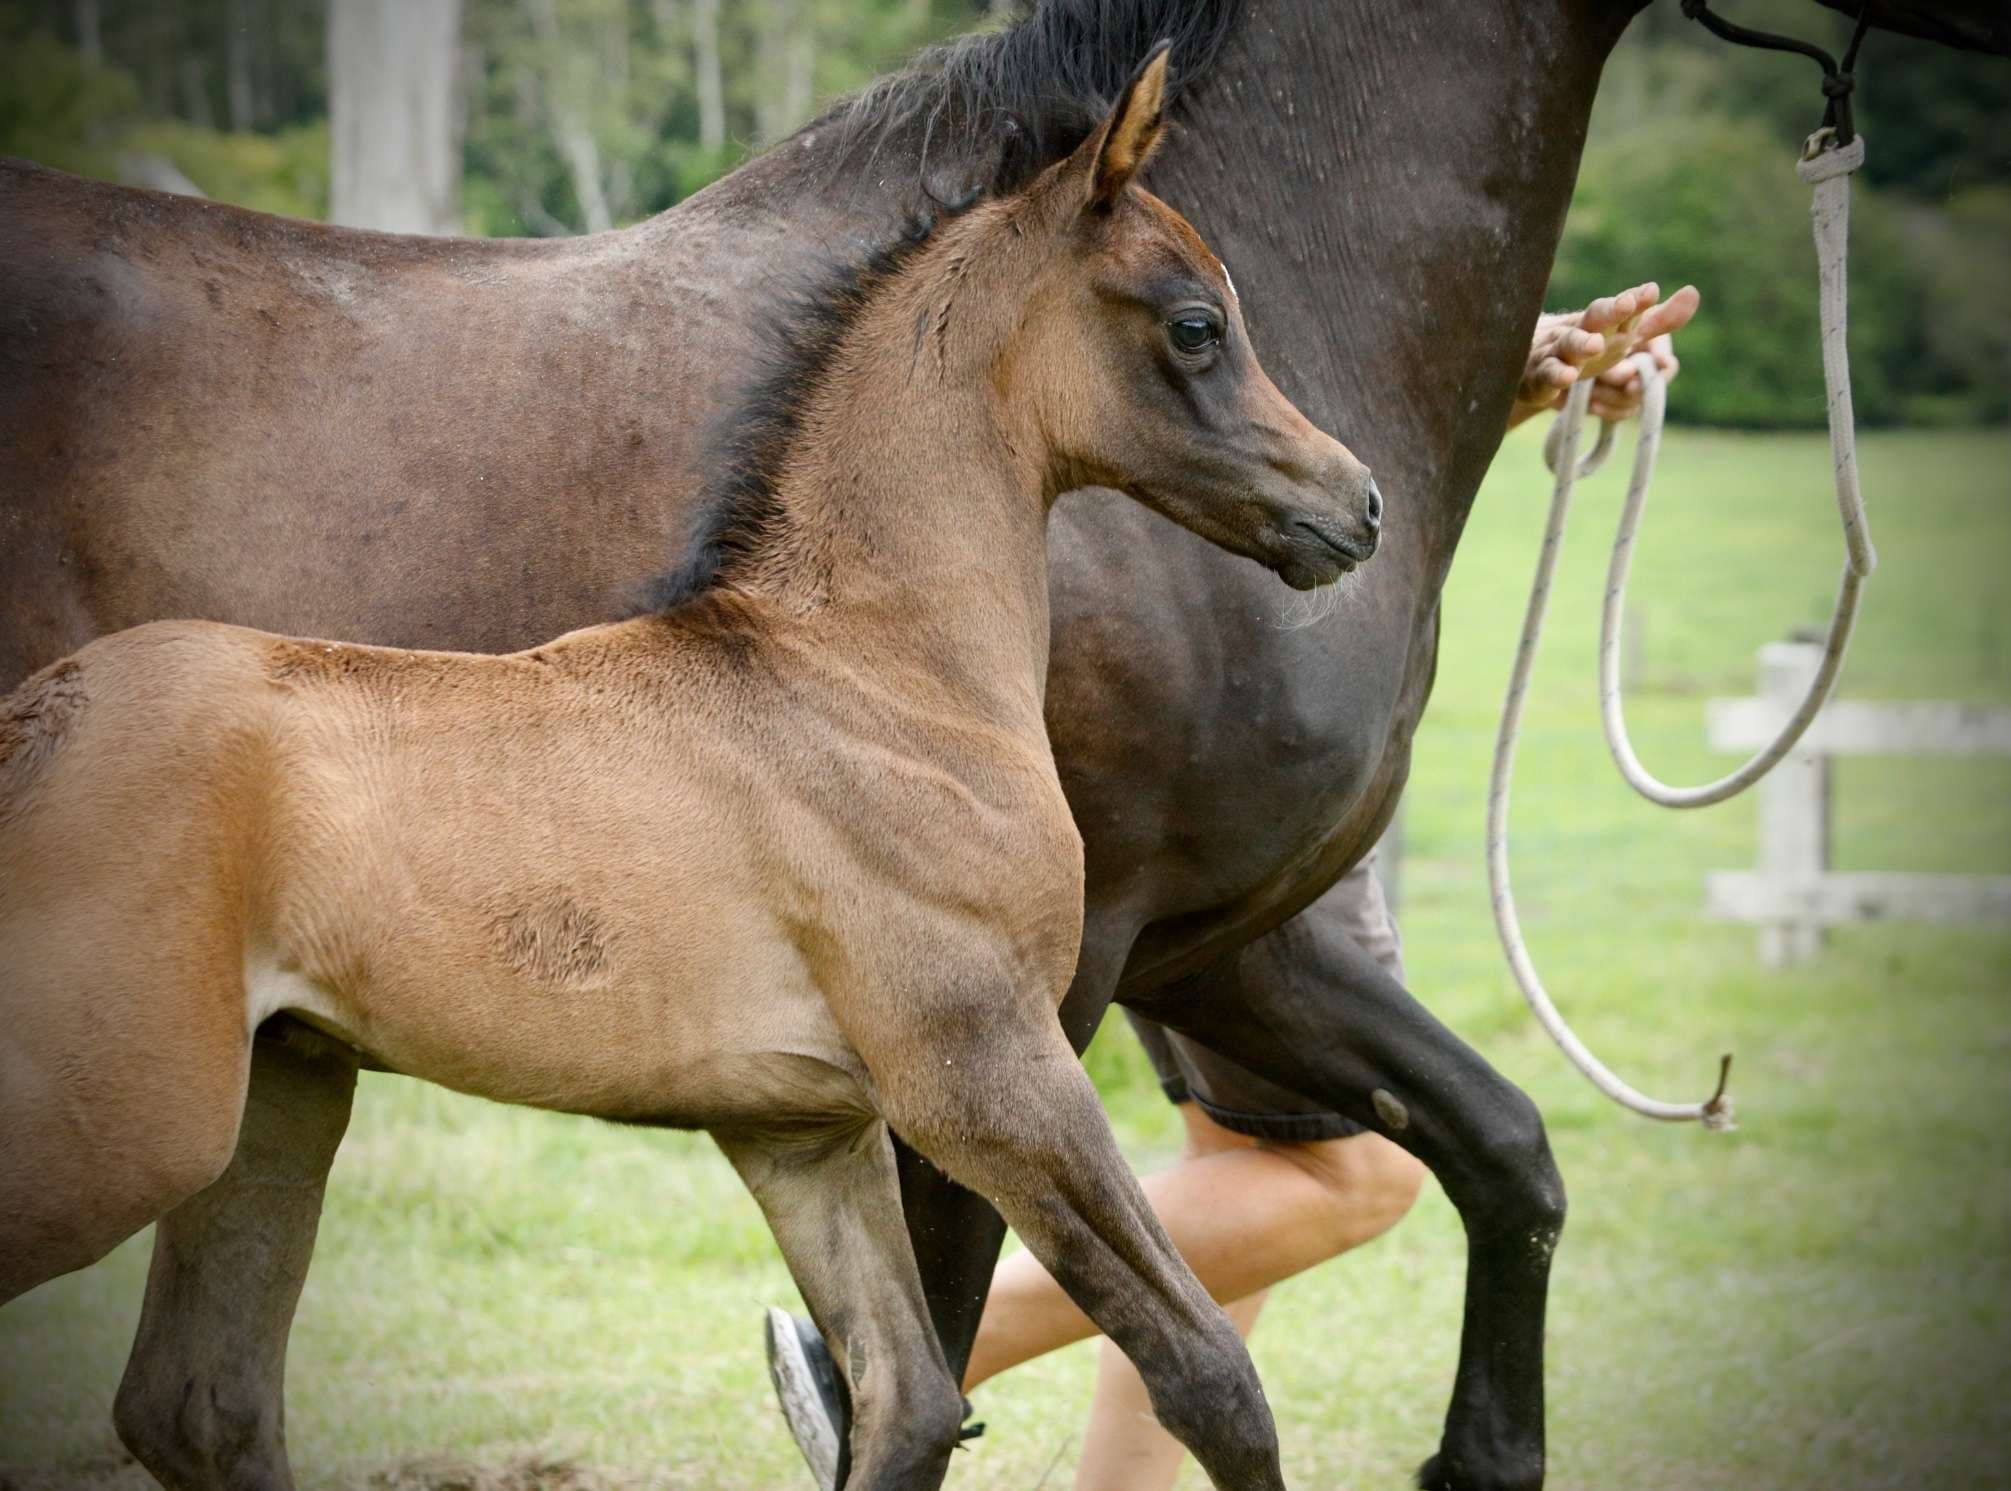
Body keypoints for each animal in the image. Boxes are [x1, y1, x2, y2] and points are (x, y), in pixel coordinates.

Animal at [0, 49, 1375, 1488]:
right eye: (1195, 325)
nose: (1356, 504)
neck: (868, 674)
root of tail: (39, 723)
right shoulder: (989, 1072)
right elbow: (1206, 1374)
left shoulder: (803, 1132)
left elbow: (906, 1403)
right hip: (131, 1119)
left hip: (284, 1086)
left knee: (198, 1400)